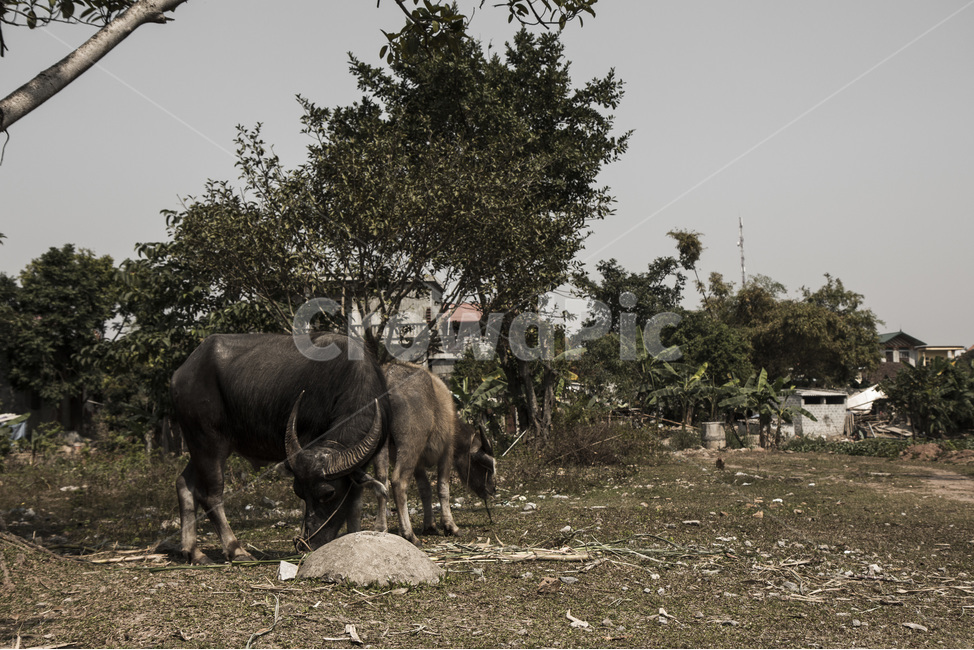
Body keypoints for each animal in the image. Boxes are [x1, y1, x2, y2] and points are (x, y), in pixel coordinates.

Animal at [170, 333, 389, 564]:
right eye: (299, 492)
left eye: (328, 493)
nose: (307, 543)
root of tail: (180, 374)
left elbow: (355, 503)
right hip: (209, 442)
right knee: (210, 495)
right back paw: (236, 549)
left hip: (199, 444)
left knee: (184, 483)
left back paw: (194, 552)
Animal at [373, 362, 496, 546]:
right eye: (484, 465)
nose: (492, 489)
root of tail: (389, 376)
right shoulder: (447, 452)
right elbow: (443, 488)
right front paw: (450, 526)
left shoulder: (418, 463)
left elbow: (425, 489)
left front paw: (430, 525)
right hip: (410, 445)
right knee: (399, 482)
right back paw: (409, 534)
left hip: (383, 446)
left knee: (382, 479)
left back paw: (381, 528)